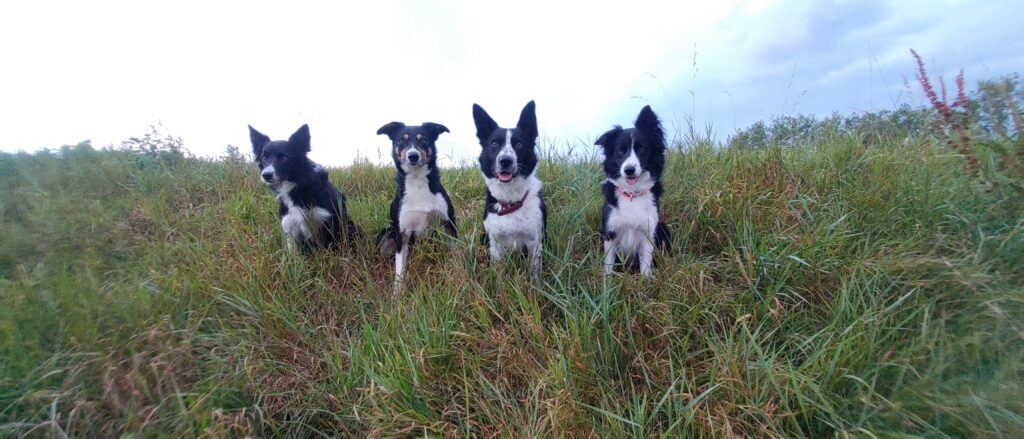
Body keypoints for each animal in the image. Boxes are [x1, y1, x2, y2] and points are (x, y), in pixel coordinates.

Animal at [376, 121, 456, 288]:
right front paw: (397, 294)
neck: (417, 181)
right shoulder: (402, 234)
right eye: (401, 140)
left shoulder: (449, 222)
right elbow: (399, 271)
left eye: (423, 140)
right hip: (387, 234)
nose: (413, 155)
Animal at [471, 99, 548, 278]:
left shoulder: (535, 242)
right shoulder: (495, 243)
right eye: (494, 144)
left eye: (519, 144)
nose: (505, 160)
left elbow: (535, 273)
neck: (511, 200)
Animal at [593, 105, 671, 276]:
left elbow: (646, 265)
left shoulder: (648, 232)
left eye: (642, 149)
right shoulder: (610, 232)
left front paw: (647, 279)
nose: (629, 170)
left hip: (663, 227)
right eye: (620, 151)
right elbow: (608, 264)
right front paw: (607, 281)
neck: (632, 194)